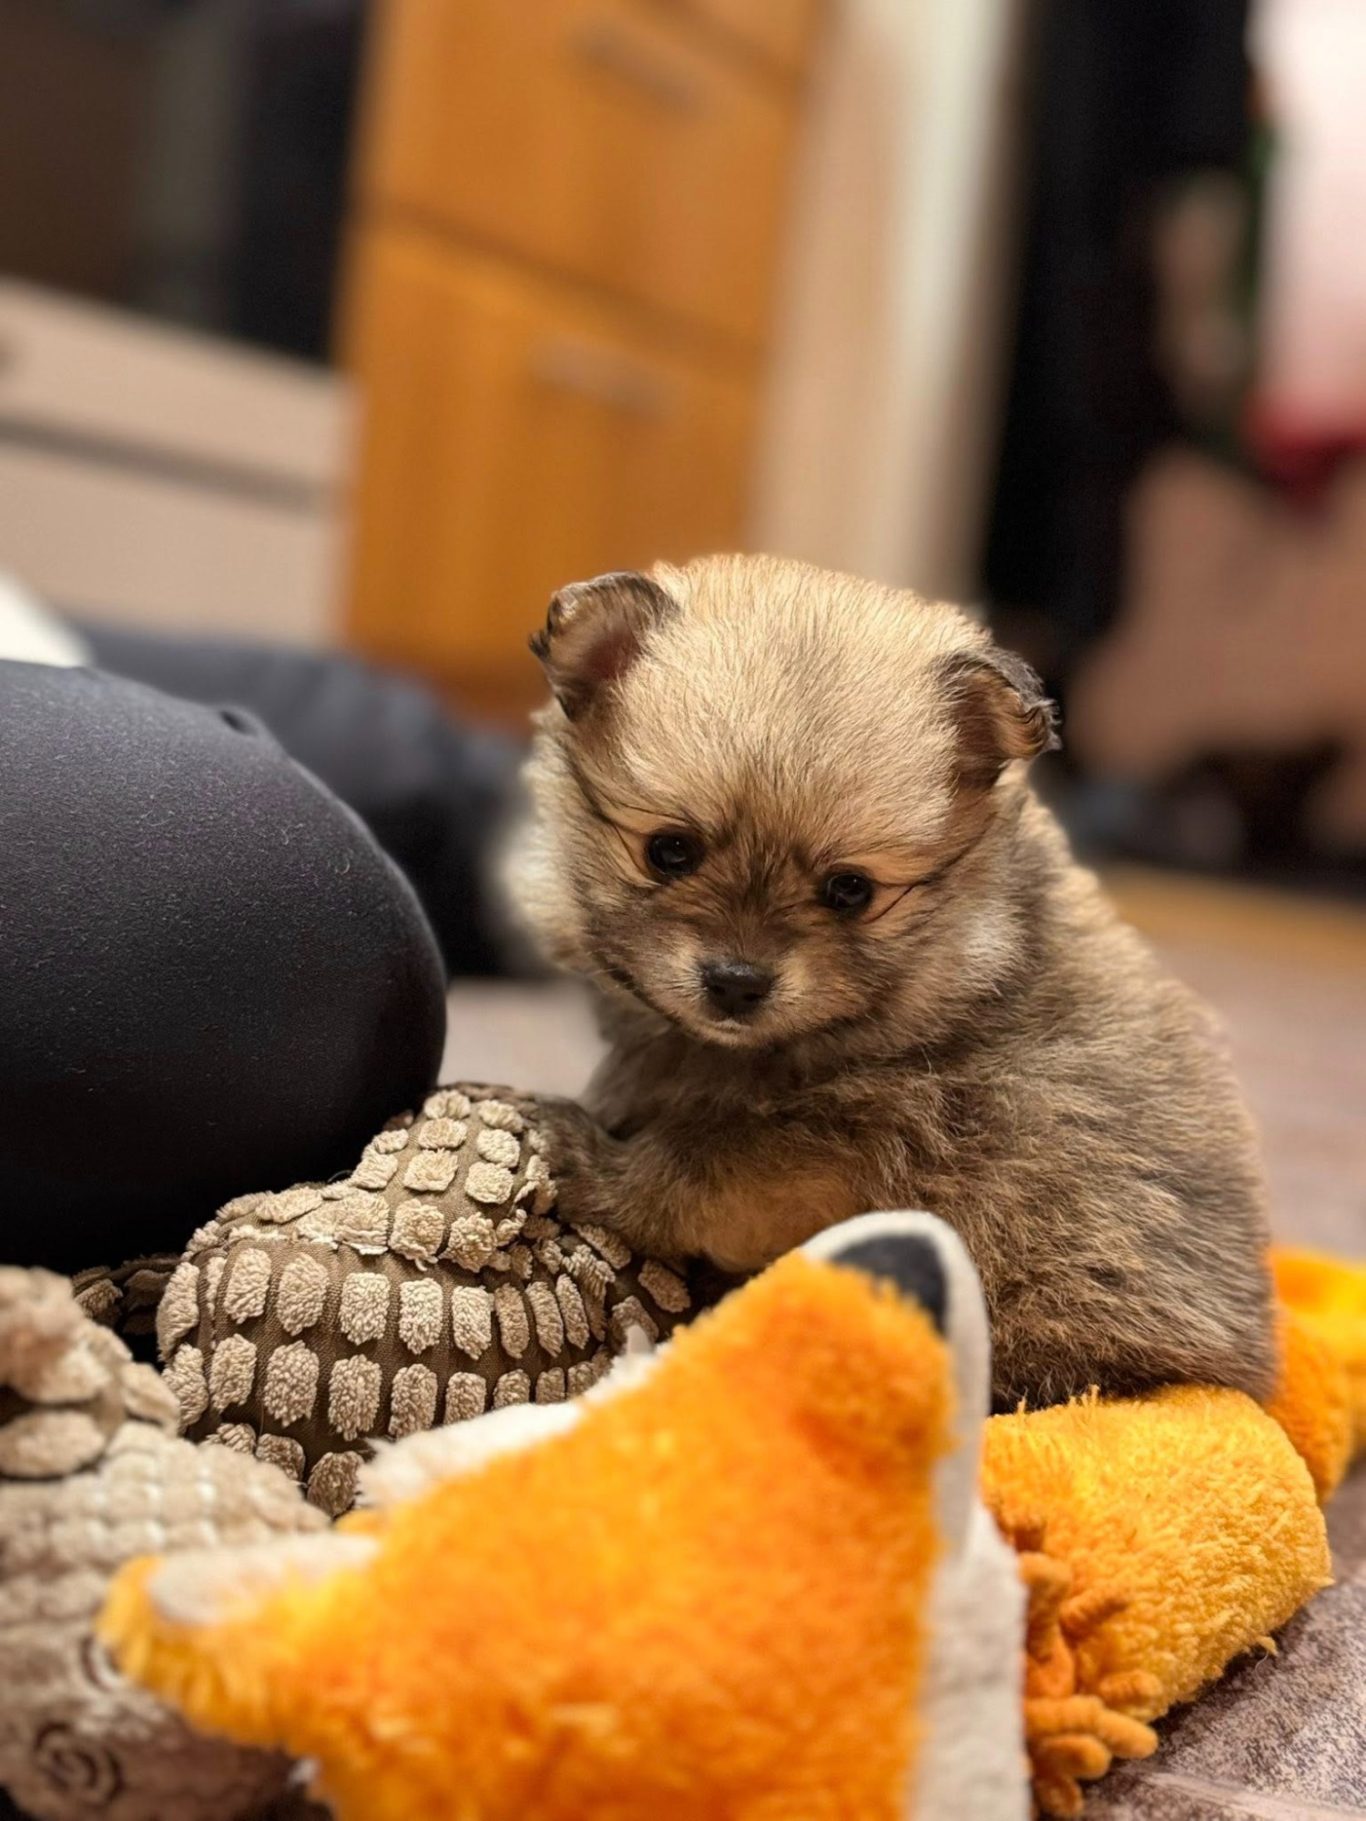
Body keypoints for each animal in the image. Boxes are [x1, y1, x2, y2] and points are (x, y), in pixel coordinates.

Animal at [508, 554, 1275, 1408]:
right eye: (670, 850)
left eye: (850, 890)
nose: (737, 981)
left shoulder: (845, 1148)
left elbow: (689, 1173)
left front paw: (589, 1158)